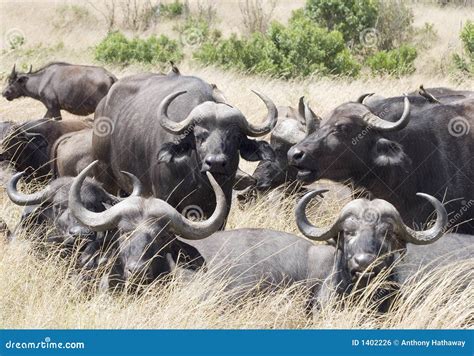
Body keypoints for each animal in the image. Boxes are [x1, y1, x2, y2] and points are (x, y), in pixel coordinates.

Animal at [92, 70, 276, 220]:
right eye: (199, 136)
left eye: (235, 137)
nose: (215, 163)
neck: (199, 178)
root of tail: (103, 104)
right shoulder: (164, 197)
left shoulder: (225, 203)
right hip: (105, 177)